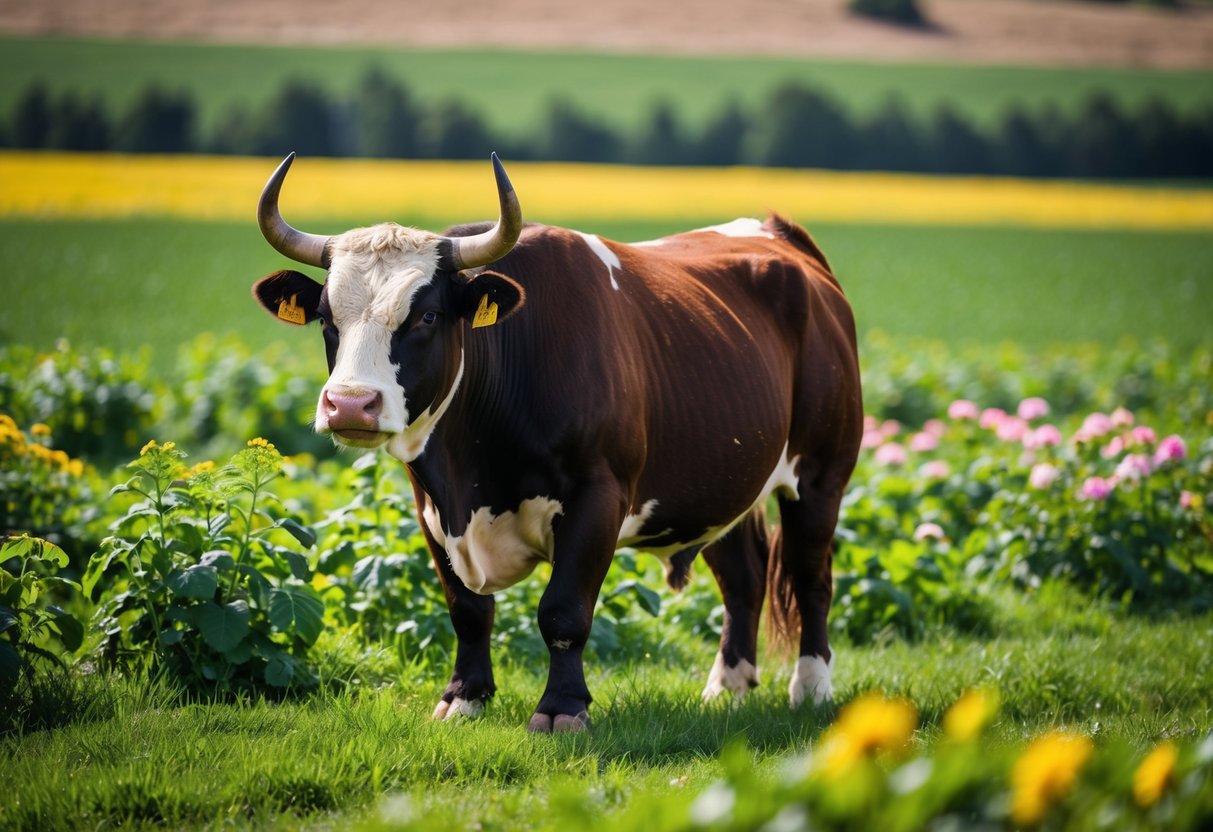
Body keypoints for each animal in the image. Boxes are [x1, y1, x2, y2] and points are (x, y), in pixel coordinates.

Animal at [251, 153, 863, 732]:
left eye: (426, 315)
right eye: (327, 319)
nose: (350, 404)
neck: (471, 468)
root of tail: (780, 236)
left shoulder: (598, 498)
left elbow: (563, 612)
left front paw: (561, 709)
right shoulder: (431, 507)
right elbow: (467, 610)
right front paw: (463, 697)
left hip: (821, 476)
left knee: (811, 576)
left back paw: (811, 687)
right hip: (716, 482)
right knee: (744, 576)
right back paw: (728, 686)